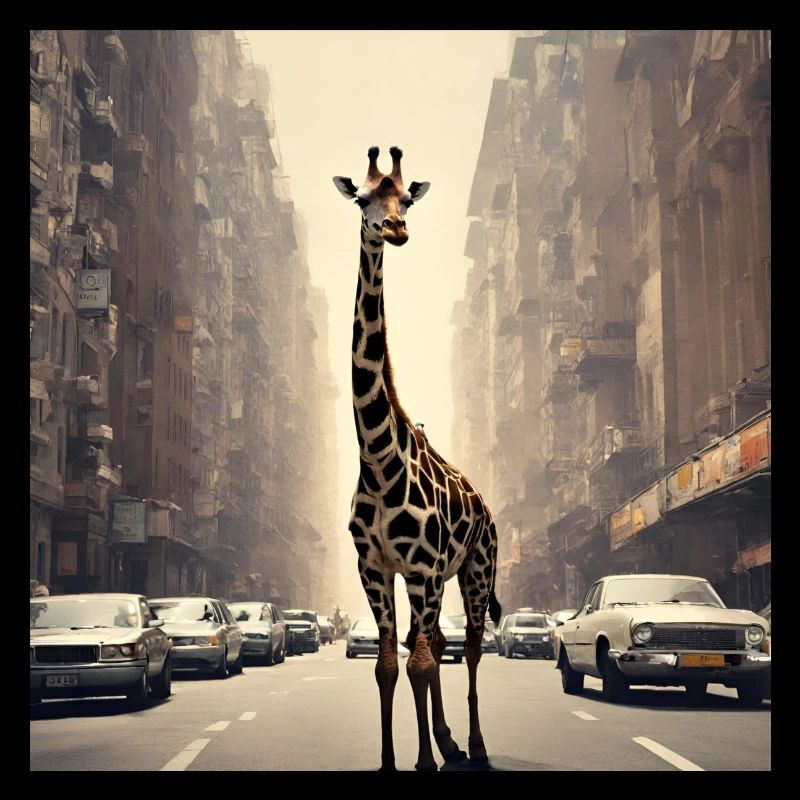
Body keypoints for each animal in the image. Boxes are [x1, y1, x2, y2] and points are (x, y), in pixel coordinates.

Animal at [333, 146, 502, 772]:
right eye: (363, 198)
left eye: (406, 198)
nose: (395, 229)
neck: (380, 463)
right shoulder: (376, 568)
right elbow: (389, 665)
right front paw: (392, 759)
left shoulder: (425, 568)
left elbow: (423, 662)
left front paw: (427, 759)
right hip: (431, 581)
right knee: (435, 643)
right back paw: (450, 741)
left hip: (476, 567)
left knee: (469, 645)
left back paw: (473, 745)